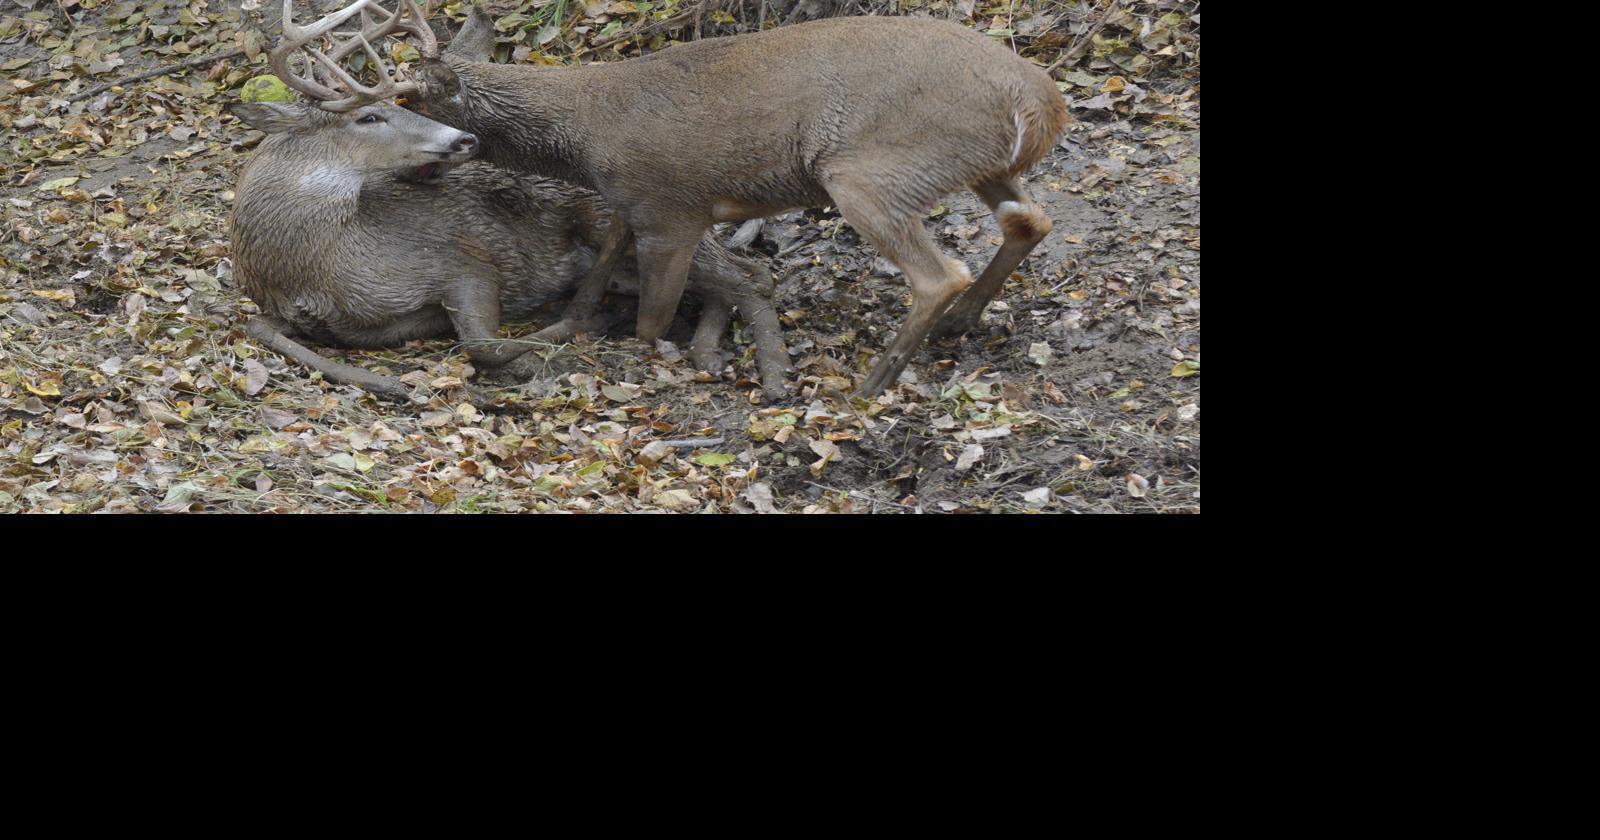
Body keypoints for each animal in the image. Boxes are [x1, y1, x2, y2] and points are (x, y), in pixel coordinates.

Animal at [232, 81, 787, 400]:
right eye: (368, 116)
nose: (464, 138)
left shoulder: (465, 262)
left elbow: (482, 344)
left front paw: (582, 325)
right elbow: (260, 329)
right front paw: (384, 383)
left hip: (622, 218)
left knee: (753, 275)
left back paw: (761, 373)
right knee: (734, 279)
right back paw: (706, 352)